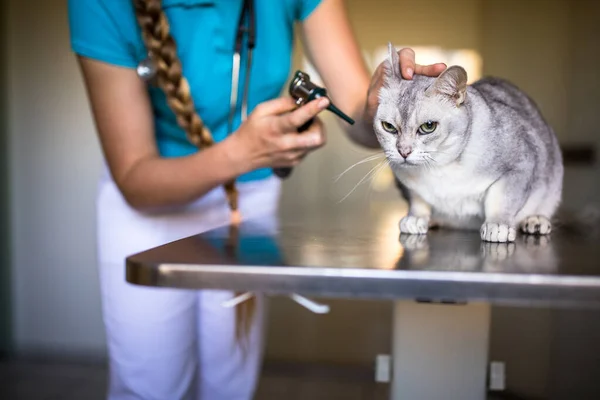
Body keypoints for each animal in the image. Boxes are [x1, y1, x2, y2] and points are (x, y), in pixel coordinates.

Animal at [372, 43, 564, 244]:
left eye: (428, 126)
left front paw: (497, 224)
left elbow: (501, 200)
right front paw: (417, 217)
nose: (403, 151)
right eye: (388, 127)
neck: (440, 167)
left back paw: (536, 221)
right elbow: (418, 200)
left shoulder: (520, 165)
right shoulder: (408, 185)